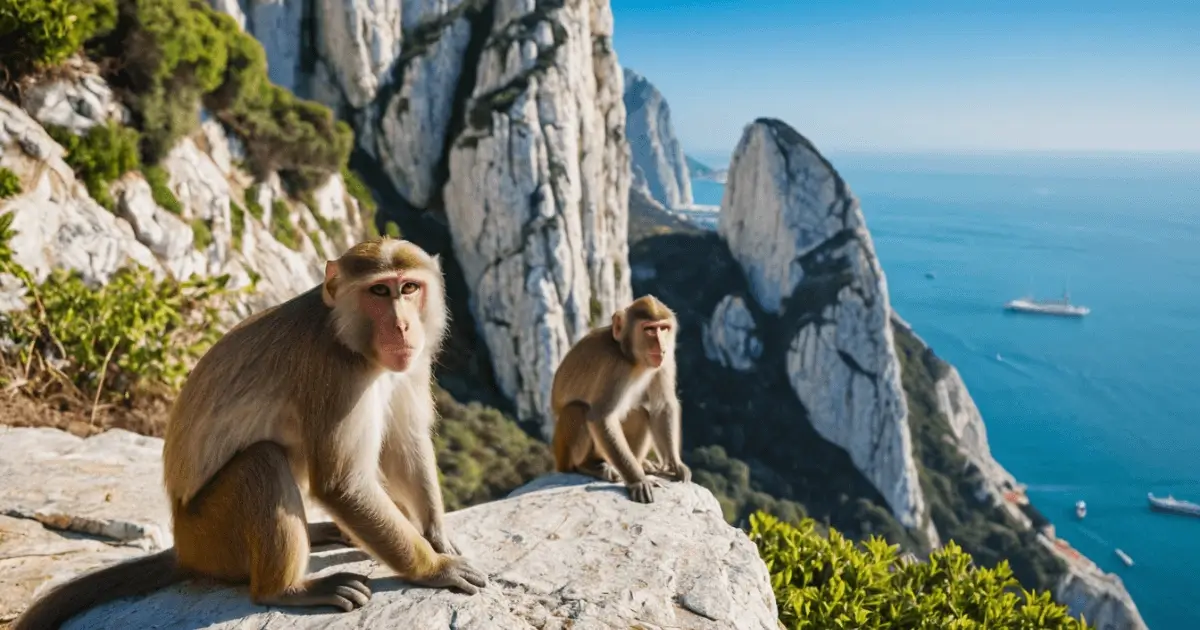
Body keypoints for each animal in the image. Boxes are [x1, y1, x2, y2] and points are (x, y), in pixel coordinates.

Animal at [11, 237, 484, 628]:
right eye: (380, 292)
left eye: (410, 288)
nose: (403, 325)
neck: (347, 334)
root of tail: (183, 547)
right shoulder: (335, 374)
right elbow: (343, 484)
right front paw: (434, 568)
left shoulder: (411, 361)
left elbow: (405, 443)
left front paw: (436, 535)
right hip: (212, 537)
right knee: (264, 461)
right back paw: (285, 589)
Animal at [549, 292, 691, 504]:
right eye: (649, 329)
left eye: (663, 328)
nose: (660, 344)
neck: (631, 357)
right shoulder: (614, 366)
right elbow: (601, 417)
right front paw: (638, 481)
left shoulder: (665, 359)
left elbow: (662, 406)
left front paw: (675, 465)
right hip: (565, 453)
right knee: (578, 410)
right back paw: (587, 466)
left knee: (639, 413)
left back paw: (641, 464)